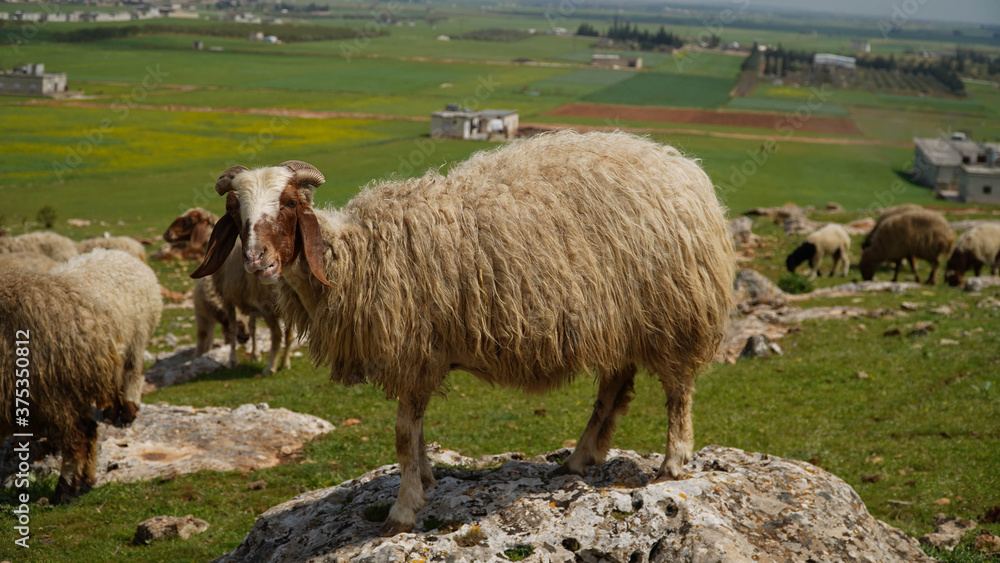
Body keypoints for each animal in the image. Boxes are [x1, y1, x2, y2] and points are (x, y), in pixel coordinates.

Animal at [191, 130, 735, 535]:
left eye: (287, 204)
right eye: (236, 213)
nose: (257, 261)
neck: (355, 259)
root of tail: (683, 167)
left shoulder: (413, 353)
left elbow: (403, 435)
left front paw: (403, 509)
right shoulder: (418, 355)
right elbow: (415, 433)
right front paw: (428, 479)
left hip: (674, 313)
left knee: (677, 392)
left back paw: (672, 463)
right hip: (619, 321)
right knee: (614, 388)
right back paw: (579, 460)